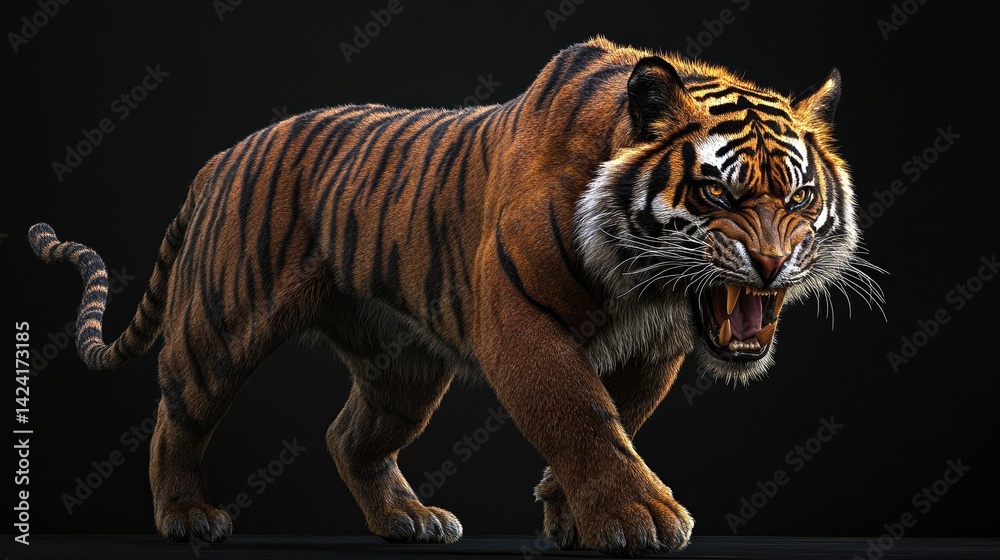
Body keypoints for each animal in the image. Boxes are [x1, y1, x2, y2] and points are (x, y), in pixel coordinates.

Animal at [29, 36, 881, 557]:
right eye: (716, 193)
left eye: (800, 198)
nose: (771, 263)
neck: (645, 290)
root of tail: (220, 158)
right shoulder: (520, 322)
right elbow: (582, 412)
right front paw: (637, 518)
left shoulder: (654, 351)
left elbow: (621, 418)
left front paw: (567, 510)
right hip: (221, 323)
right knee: (177, 415)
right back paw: (185, 516)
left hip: (403, 367)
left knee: (350, 435)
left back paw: (409, 519)